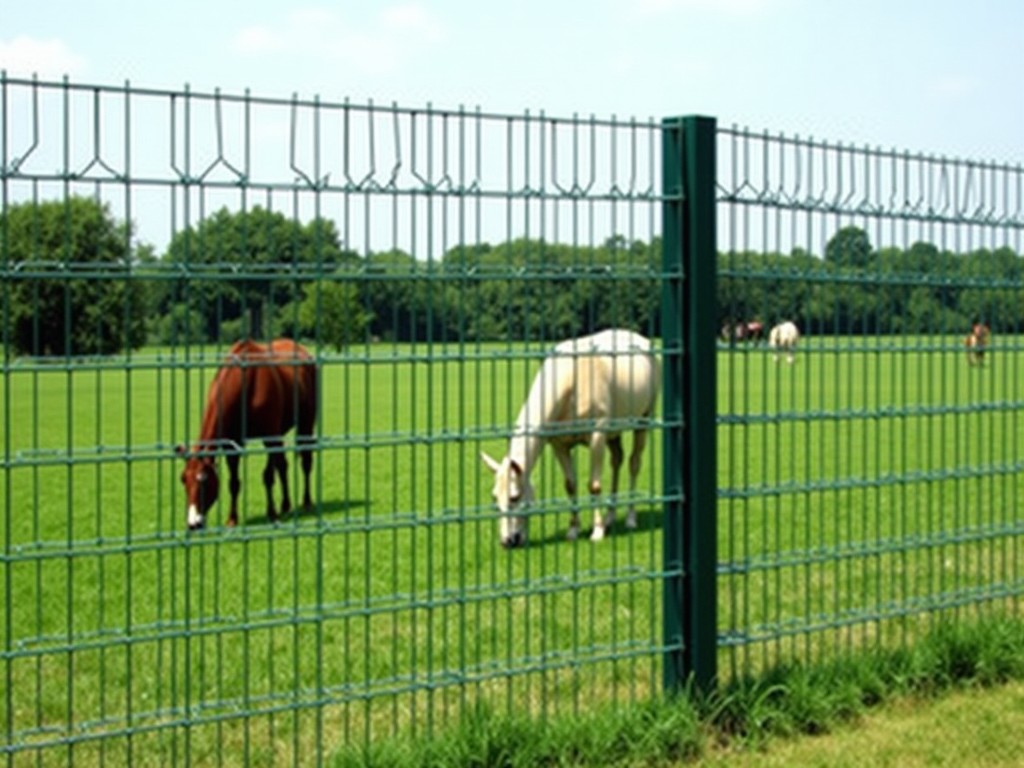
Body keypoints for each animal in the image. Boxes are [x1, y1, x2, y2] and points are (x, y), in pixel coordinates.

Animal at [176, 338, 319, 530]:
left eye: (204, 480)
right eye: (183, 479)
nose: (193, 523)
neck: (245, 383)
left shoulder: (270, 436)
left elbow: (268, 476)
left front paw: (272, 513)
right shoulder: (232, 443)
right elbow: (234, 482)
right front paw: (232, 518)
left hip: (305, 424)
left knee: (305, 460)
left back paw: (306, 502)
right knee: (283, 464)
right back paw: (286, 505)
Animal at [481, 329, 660, 548]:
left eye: (515, 497)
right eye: (495, 497)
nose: (507, 541)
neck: (572, 380)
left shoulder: (597, 436)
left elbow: (594, 485)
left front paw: (597, 531)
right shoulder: (559, 444)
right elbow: (570, 484)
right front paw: (573, 530)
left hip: (644, 420)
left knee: (634, 463)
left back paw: (630, 519)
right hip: (613, 432)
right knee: (617, 460)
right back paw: (610, 518)